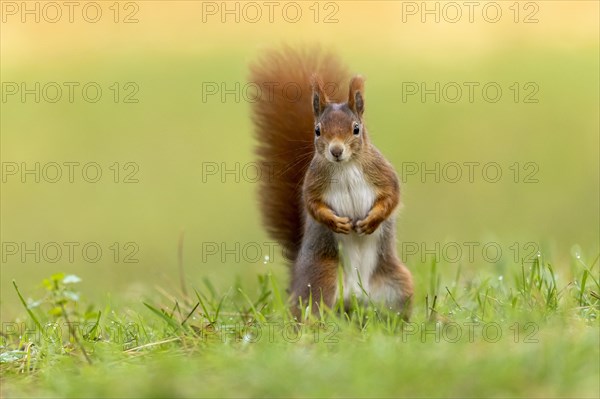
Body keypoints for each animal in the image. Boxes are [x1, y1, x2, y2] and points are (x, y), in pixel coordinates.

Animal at [248, 47, 412, 318]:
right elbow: (313, 205)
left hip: (397, 285)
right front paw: (336, 222)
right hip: (321, 279)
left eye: (356, 129)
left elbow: (392, 196)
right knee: (313, 311)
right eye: (317, 130)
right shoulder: (313, 182)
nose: (336, 151)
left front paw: (371, 221)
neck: (344, 167)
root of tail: (355, 296)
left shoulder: (383, 174)